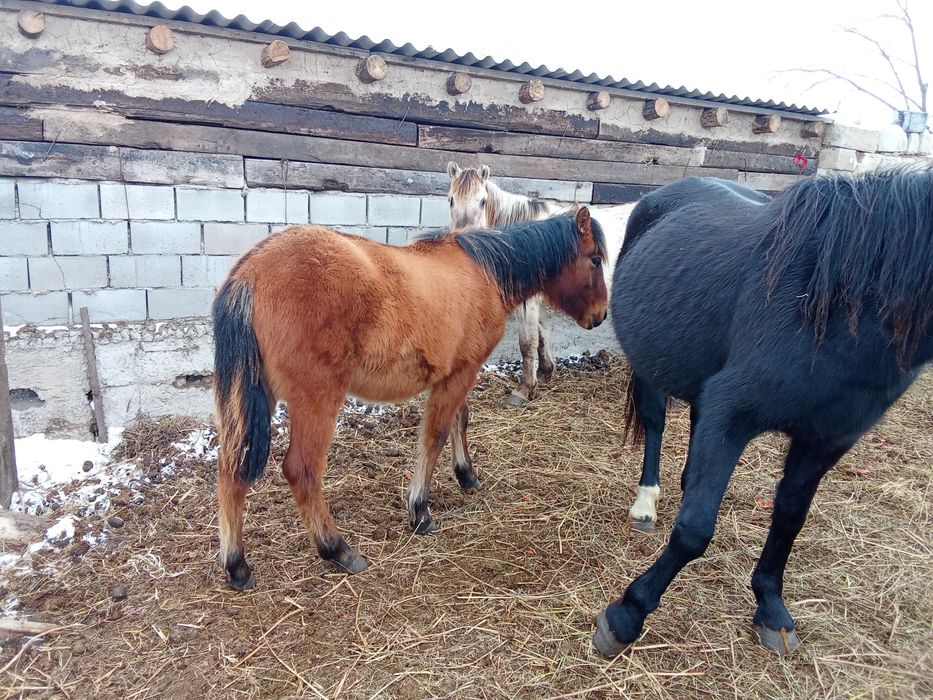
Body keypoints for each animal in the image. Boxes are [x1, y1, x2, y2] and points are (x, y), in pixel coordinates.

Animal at [213, 208, 609, 590]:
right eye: (594, 259)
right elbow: (434, 436)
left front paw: (467, 475)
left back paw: (237, 566)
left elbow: (459, 421)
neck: (484, 272)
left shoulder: (457, 373)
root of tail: (251, 273)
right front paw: (420, 511)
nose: (601, 314)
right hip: (317, 400)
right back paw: (337, 549)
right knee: (302, 471)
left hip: (254, 398)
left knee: (231, 469)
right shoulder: (461, 374)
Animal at [447, 162, 562, 406]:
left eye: (482, 201)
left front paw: (523, 390)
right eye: (451, 199)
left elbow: (528, 341)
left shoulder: (529, 299)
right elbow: (542, 332)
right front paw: (545, 372)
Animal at [593, 167, 933, 657]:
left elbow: (790, 517)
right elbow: (695, 529)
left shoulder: (826, 438)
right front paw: (626, 614)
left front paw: (771, 606)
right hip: (650, 363)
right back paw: (646, 503)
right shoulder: (733, 412)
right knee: (656, 422)